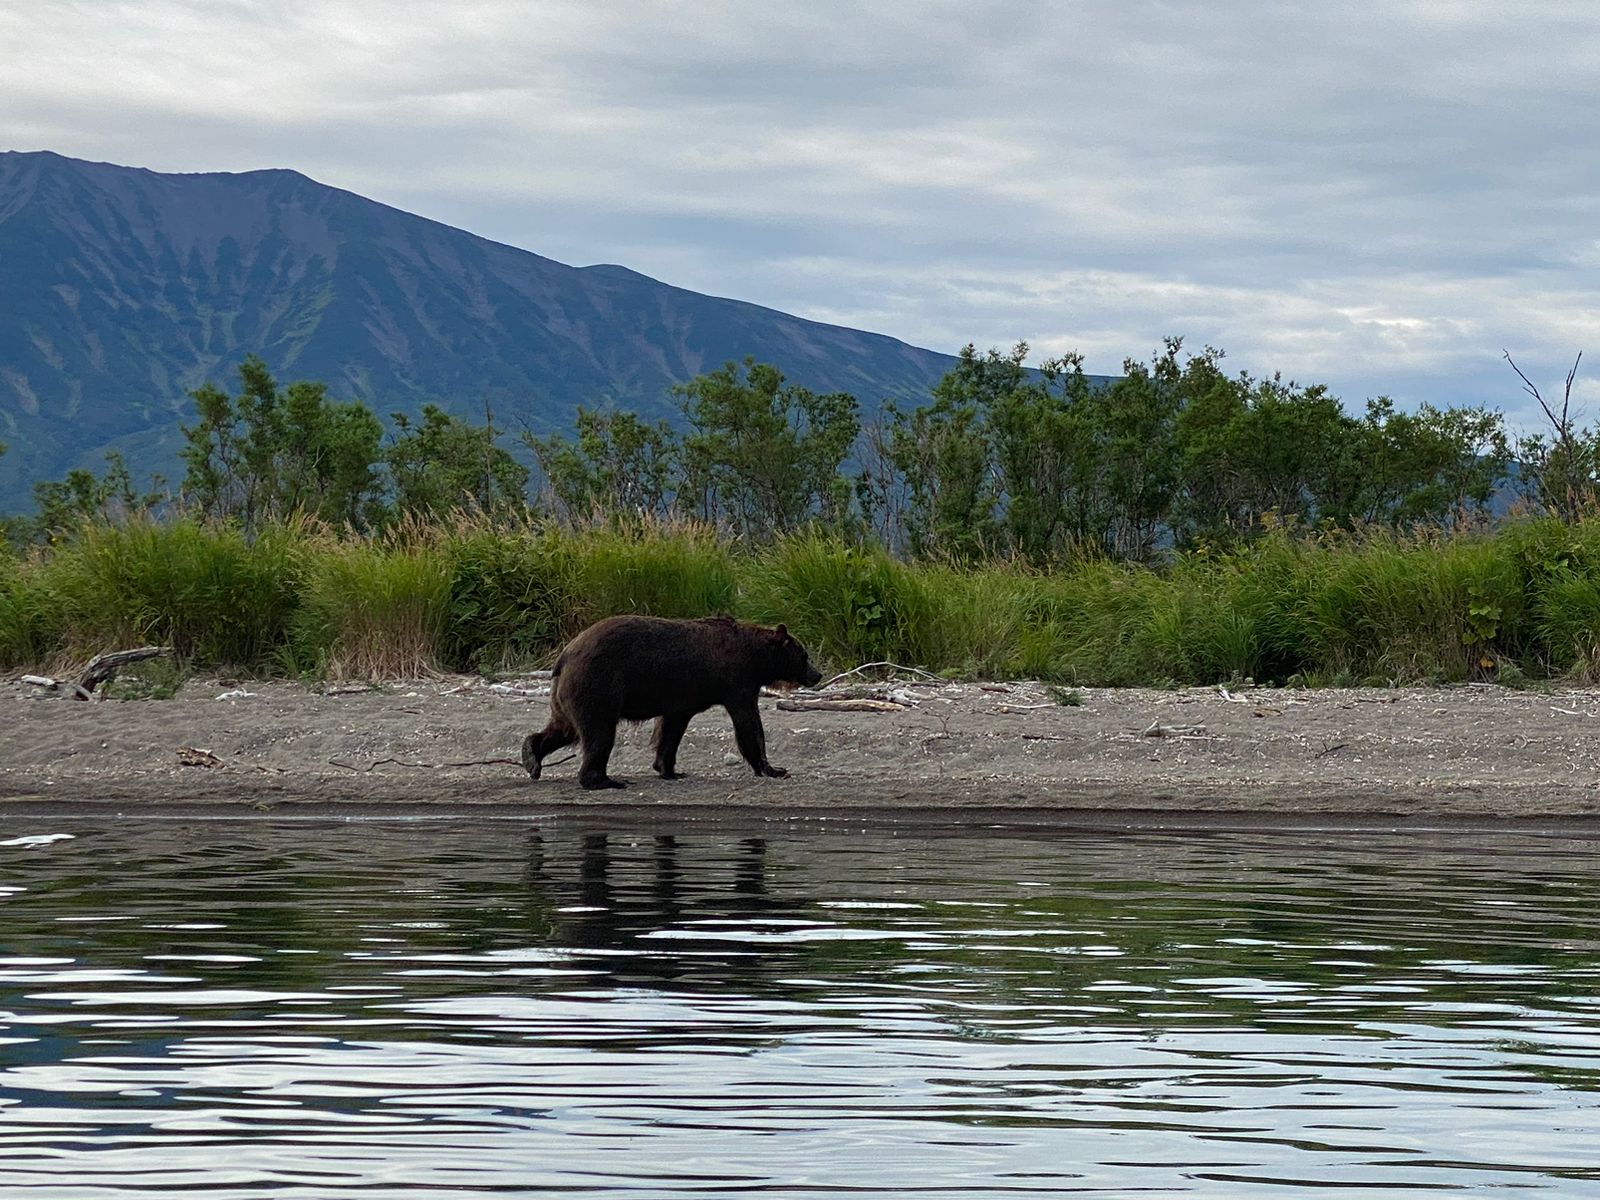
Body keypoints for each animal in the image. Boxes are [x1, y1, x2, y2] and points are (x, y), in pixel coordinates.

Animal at [521, 620, 825, 790]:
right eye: (803, 654)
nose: (817, 674)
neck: (756, 658)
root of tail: (565, 655)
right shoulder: (735, 681)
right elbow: (748, 723)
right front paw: (773, 768)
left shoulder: (683, 697)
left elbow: (671, 728)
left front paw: (670, 770)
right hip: (599, 683)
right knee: (599, 733)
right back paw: (604, 781)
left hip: (570, 692)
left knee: (564, 729)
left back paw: (532, 757)